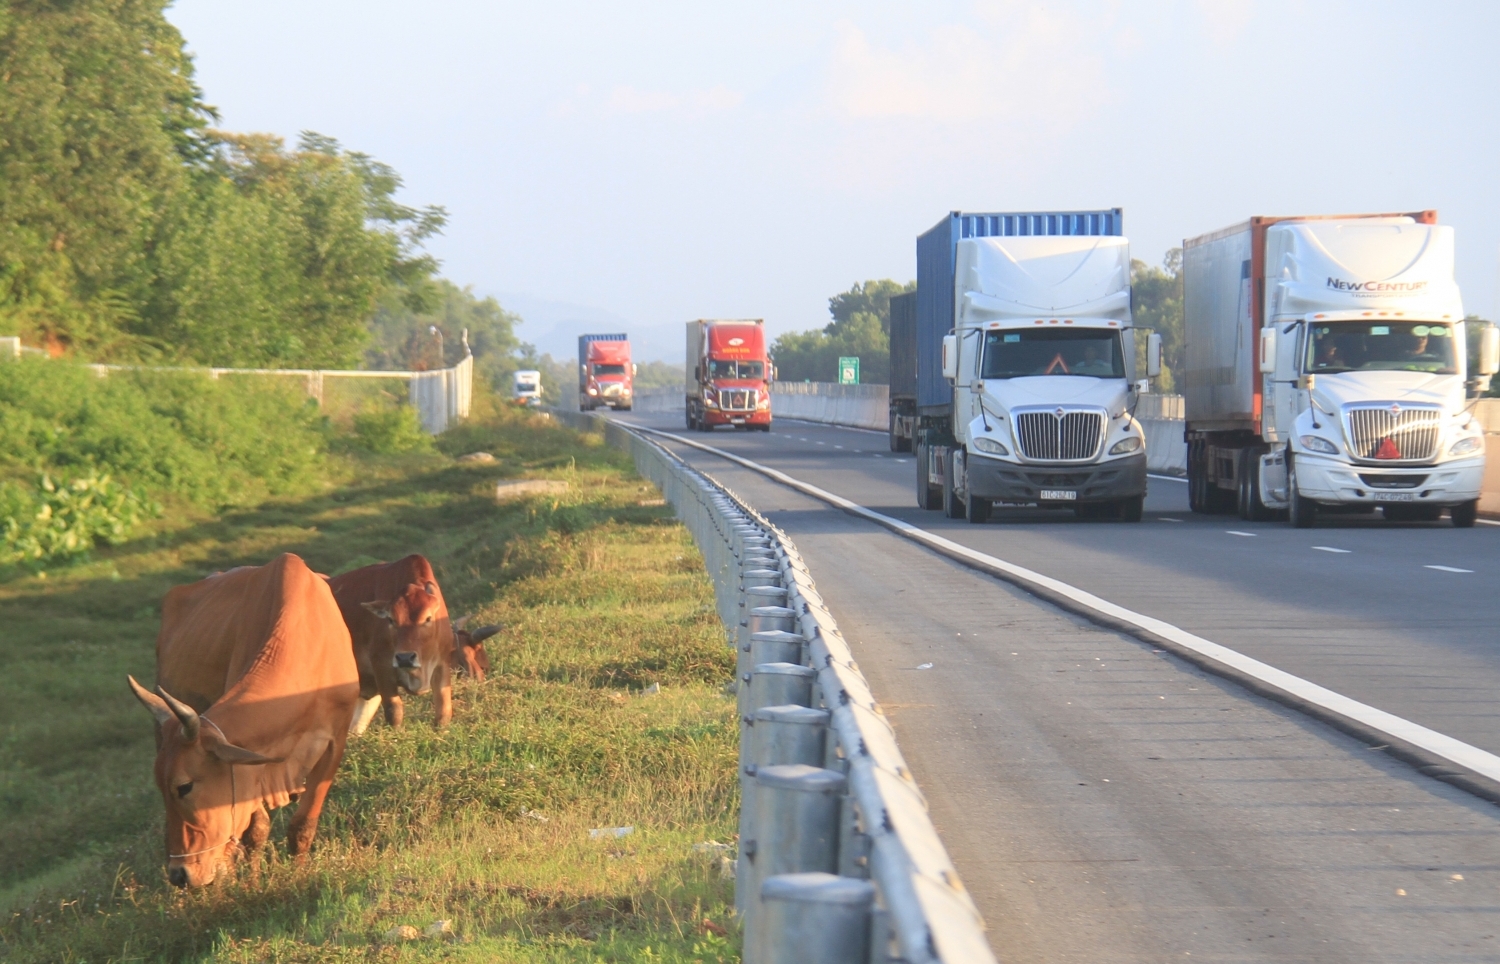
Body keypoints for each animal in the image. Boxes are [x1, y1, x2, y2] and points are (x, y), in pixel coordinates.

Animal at [128, 554, 357, 887]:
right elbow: (256, 831)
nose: (179, 874)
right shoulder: (250, 764)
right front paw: (252, 883)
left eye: (185, 786)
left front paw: (300, 875)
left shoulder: (334, 742)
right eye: (163, 785)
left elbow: (302, 827)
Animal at [331, 557, 459, 731]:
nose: (405, 658)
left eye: (428, 618)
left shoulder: (442, 663)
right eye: (390, 619)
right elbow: (394, 710)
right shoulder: (382, 666)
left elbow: (444, 711)